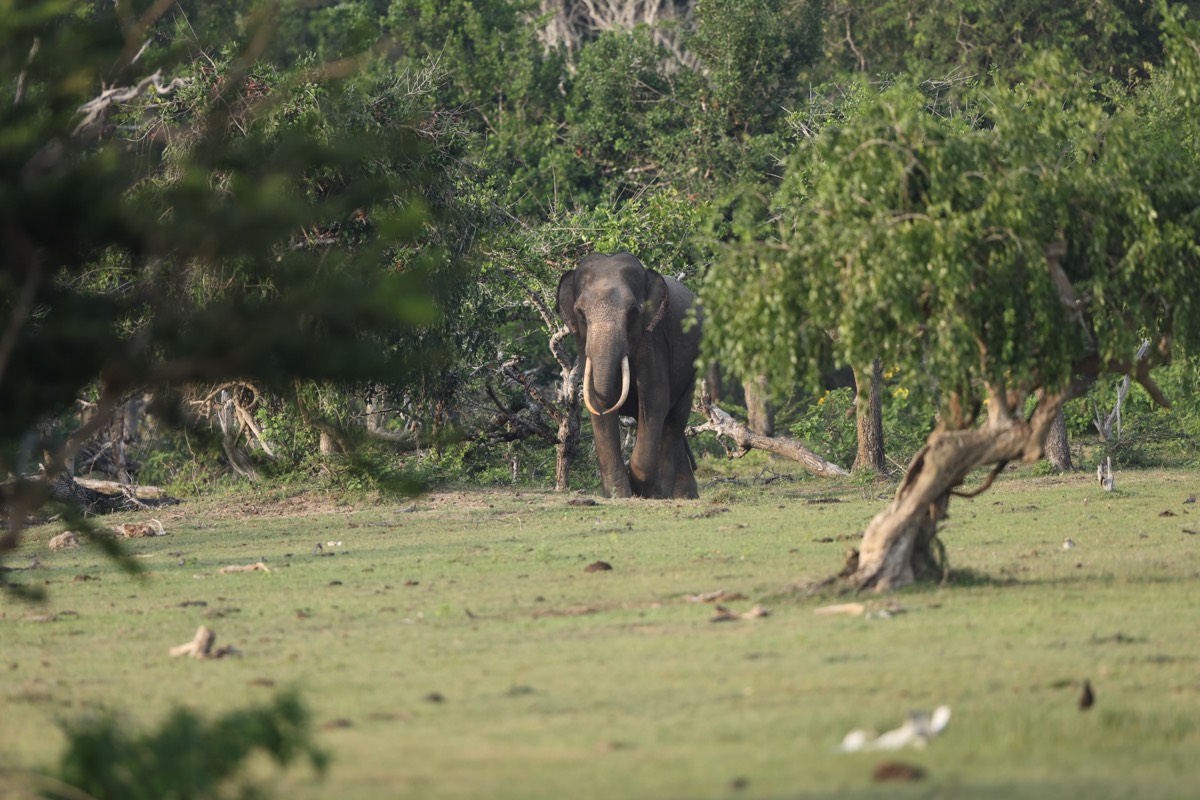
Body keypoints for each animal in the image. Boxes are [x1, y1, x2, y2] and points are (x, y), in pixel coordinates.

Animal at [557, 252, 702, 499]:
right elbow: (597, 400)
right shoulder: (583, 343)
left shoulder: (653, 338)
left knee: (674, 419)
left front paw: (649, 491)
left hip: (693, 366)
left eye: (633, 311)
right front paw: (619, 495)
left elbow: (654, 399)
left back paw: (673, 493)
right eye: (580, 313)